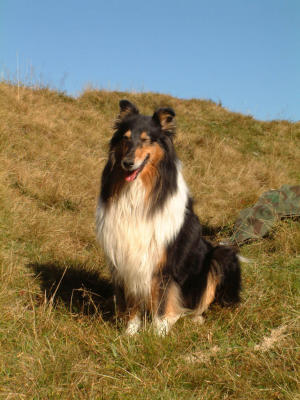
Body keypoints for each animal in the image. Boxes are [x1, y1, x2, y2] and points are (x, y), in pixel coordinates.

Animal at [96, 100, 241, 334]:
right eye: (125, 138)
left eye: (146, 139)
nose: (127, 163)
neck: (139, 192)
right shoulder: (127, 259)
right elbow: (133, 302)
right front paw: (130, 333)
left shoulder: (164, 263)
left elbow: (163, 301)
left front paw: (159, 334)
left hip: (221, 255)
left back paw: (194, 319)